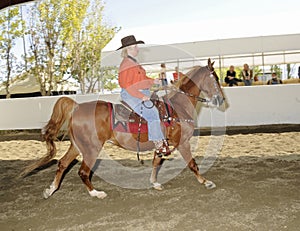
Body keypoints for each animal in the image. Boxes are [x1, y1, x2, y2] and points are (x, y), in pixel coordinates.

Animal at [22, 57, 225, 199]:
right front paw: (206, 182)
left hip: (77, 146)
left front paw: (154, 183)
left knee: (62, 164)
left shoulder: (161, 145)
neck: (177, 107)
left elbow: (156, 163)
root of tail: (77, 107)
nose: (221, 99)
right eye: (214, 78)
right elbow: (192, 164)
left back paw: (50, 190)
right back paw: (96, 193)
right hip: (91, 148)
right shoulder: (182, 142)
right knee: (83, 172)